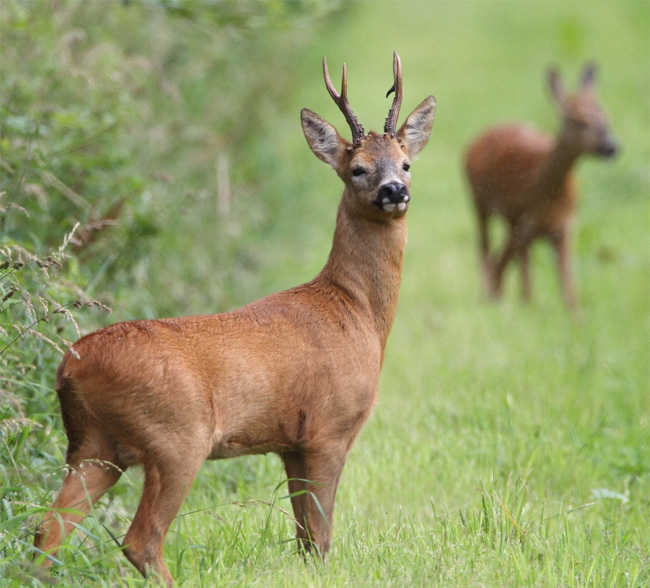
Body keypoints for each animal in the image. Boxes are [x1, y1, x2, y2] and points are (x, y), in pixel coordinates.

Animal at [33, 52, 432, 584]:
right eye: (357, 169)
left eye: (406, 163)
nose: (393, 190)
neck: (355, 313)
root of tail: (68, 366)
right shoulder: (328, 428)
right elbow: (322, 537)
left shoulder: (290, 442)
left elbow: (305, 540)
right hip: (176, 436)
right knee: (141, 539)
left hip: (93, 446)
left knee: (49, 530)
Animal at [464, 63, 616, 312]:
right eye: (578, 121)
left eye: (607, 119)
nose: (612, 146)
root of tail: (474, 143)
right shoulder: (525, 224)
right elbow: (528, 286)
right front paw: (528, 310)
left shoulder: (565, 226)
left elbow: (569, 289)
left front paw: (576, 316)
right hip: (480, 202)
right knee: (485, 250)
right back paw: (490, 296)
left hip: (510, 222)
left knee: (500, 259)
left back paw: (496, 297)